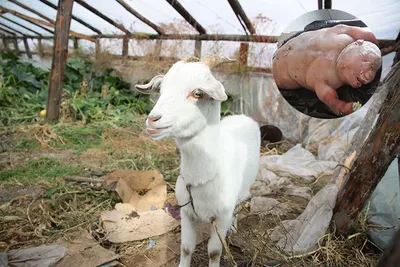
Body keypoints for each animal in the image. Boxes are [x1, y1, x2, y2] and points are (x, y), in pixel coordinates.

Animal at [134, 56, 260, 267]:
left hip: (243, 191)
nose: (153, 120)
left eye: (197, 93)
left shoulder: (222, 216)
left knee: (239, 205)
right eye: (161, 89)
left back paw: (234, 228)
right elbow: (186, 248)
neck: (201, 177)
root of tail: (242, 116)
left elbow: (214, 251)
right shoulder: (186, 213)